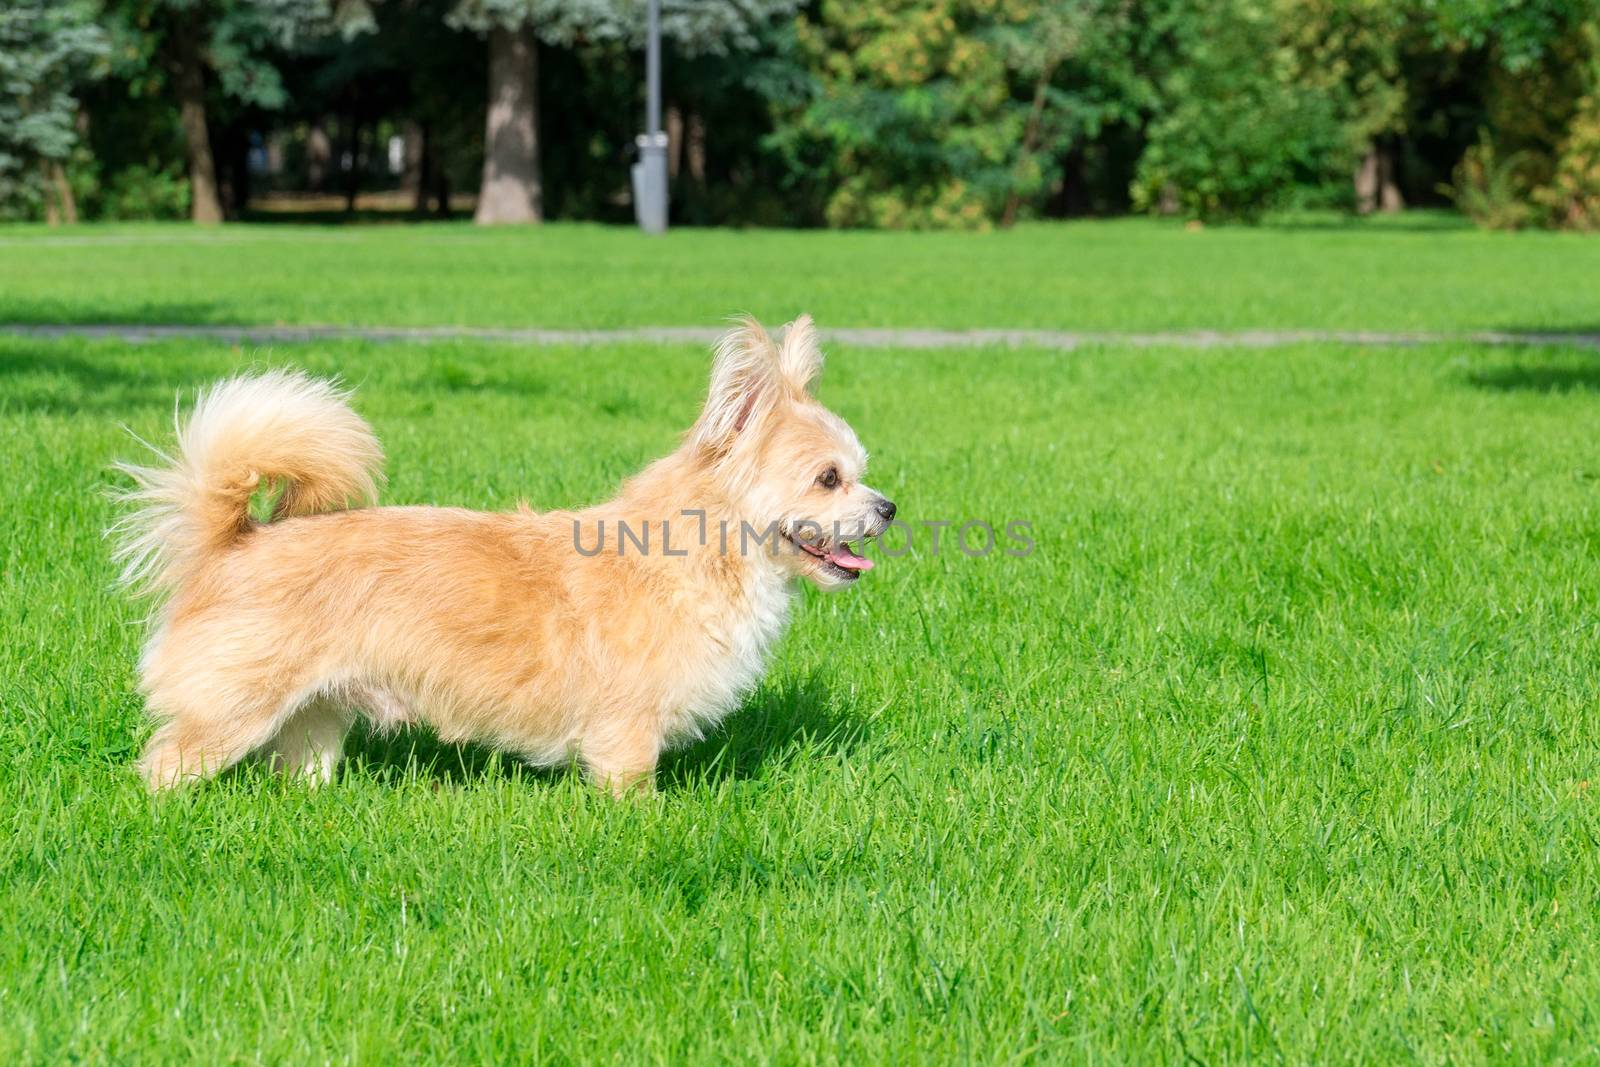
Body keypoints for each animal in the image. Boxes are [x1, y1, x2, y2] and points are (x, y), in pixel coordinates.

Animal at [112, 316, 896, 793]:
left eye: (860, 471)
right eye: (830, 479)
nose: (888, 507)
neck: (698, 555)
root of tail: (234, 541)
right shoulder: (625, 735)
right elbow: (633, 790)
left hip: (315, 716)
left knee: (301, 768)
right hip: (231, 711)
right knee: (164, 764)